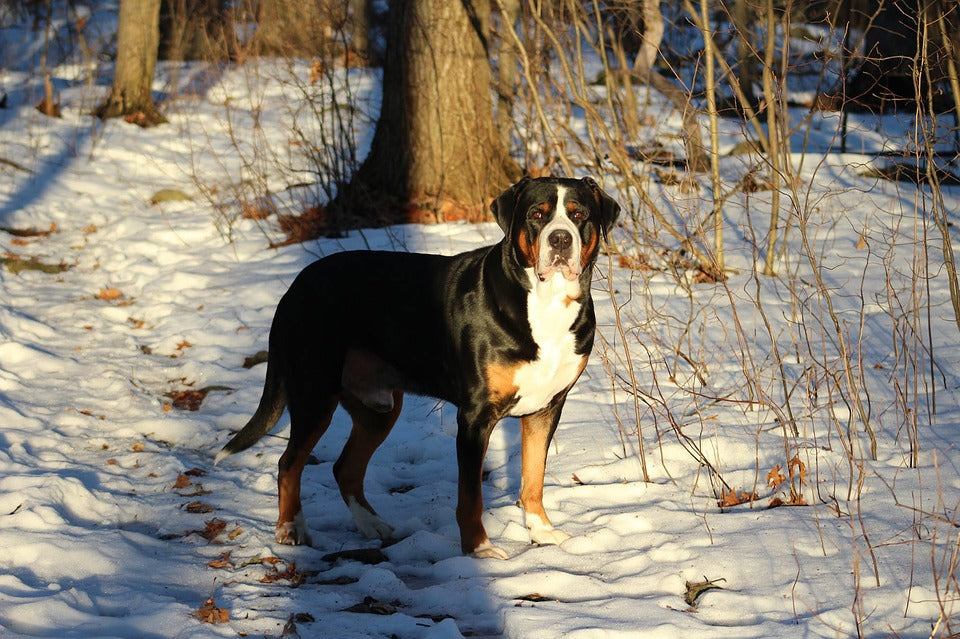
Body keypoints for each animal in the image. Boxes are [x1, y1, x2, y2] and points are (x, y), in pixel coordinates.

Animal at [216, 176, 624, 560]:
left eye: (578, 215)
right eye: (537, 214)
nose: (560, 239)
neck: (545, 303)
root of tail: (297, 284)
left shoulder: (547, 407)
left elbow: (533, 477)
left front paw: (542, 532)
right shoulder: (474, 416)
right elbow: (470, 496)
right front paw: (479, 549)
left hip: (379, 409)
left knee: (345, 468)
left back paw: (374, 526)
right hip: (314, 393)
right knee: (289, 462)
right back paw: (290, 530)